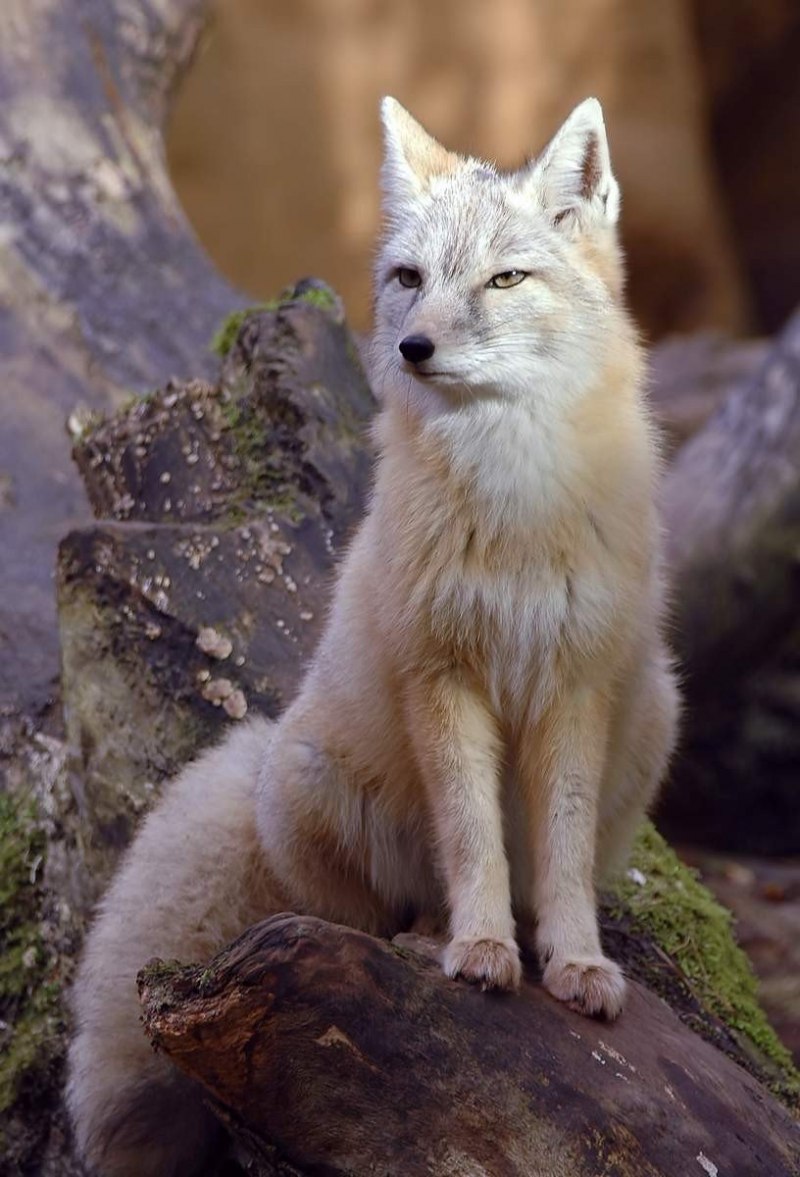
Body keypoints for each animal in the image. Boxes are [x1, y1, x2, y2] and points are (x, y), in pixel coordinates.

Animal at [67, 96, 679, 1175]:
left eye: (504, 279)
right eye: (408, 281)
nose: (414, 349)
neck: (515, 503)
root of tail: (265, 741)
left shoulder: (576, 682)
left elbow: (559, 856)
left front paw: (575, 963)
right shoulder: (443, 676)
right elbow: (471, 833)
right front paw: (478, 950)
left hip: (653, 714)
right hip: (311, 783)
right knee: (378, 914)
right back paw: (430, 937)